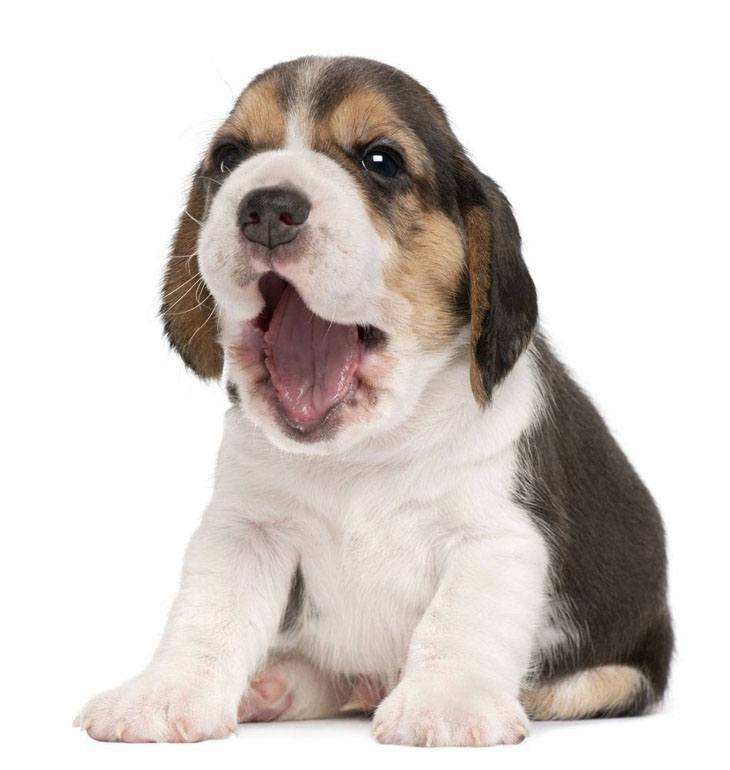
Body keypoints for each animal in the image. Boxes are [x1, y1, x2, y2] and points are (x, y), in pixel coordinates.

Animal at [75, 58, 672, 744]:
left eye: (380, 160)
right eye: (228, 157)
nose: (267, 208)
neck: (363, 451)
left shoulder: (496, 536)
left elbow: (460, 622)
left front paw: (444, 705)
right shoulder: (245, 532)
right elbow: (207, 614)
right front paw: (161, 695)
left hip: (627, 668)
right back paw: (274, 686)